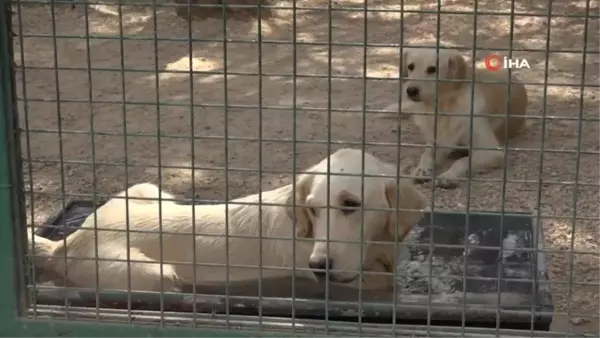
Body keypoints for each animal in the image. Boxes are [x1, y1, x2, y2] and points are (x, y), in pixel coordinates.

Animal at [27, 148, 422, 294]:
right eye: (312, 209)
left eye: (350, 204)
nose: (318, 265)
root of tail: (67, 243)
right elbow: (385, 279)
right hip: (155, 275)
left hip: (148, 189)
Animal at [400, 47, 528, 189]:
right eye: (411, 66)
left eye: (432, 69)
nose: (410, 90)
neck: (444, 107)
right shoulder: (438, 141)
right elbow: (426, 154)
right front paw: (421, 169)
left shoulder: (492, 152)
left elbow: (462, 161)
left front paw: (448, 176)